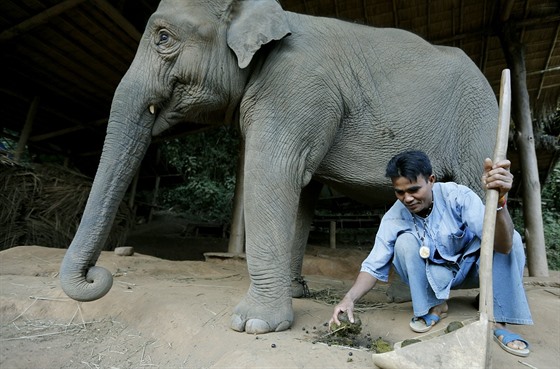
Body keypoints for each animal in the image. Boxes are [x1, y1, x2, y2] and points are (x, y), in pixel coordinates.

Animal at [60, 0, 498, 334]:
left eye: (163, 37)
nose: (98, 276)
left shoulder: (296, 86)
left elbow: (271, 170)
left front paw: (253, 324)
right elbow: (301, 193)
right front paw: (293, 293)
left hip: (479, 122)